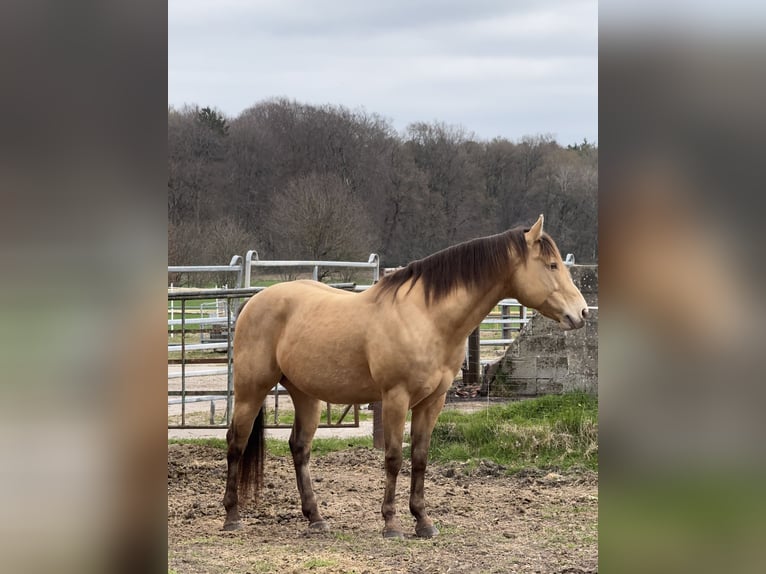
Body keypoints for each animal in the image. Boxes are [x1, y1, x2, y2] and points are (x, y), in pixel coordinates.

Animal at [222, 214, 589, 538]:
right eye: (552, 265)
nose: (582, 312)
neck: (427, 318)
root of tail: (254, 301)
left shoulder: (432, 402)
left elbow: (421, 458)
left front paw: (423, 522)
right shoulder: (396, 398)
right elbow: (394, 458)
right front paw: (391, 524)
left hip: (305, 395)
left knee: (299, 448)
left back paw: (316, 519)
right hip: (251, 390)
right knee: (236, 442)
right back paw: (232, 517)